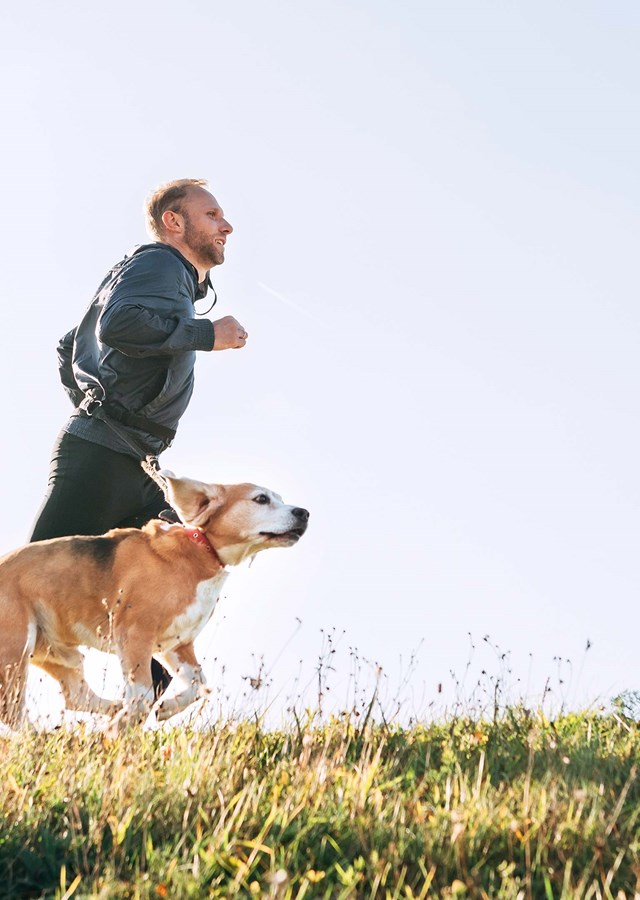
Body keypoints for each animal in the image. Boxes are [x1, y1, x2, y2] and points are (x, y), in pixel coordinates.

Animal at [0, 474, 310, 728]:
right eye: (261, 499)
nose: (304, 512)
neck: (200, 551)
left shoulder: (176, 644)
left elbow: (198, 683)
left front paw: (167, 708)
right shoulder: (135, 636)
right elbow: (143, 694)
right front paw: (125, 724)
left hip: (61, 653)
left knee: (76, 696)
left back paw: (111, 713)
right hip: (15, 651)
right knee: (13, 713)